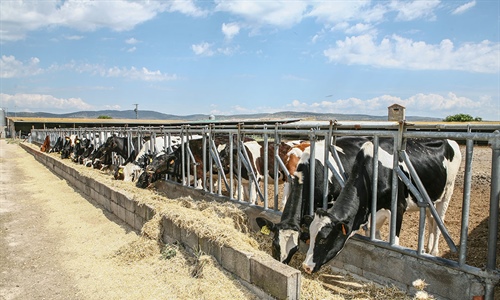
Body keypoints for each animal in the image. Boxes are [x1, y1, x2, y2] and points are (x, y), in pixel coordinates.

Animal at [300, 138, 460, 274]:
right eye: (310, 235)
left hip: (447, 192)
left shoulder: (398, 208)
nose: (306, 267)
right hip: (431, 199)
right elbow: (376, 237)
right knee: (431, 220)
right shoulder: (375, 215)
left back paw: (433, 252)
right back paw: (426, 249)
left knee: (439, 221)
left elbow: (394, 242)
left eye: (323, 239)